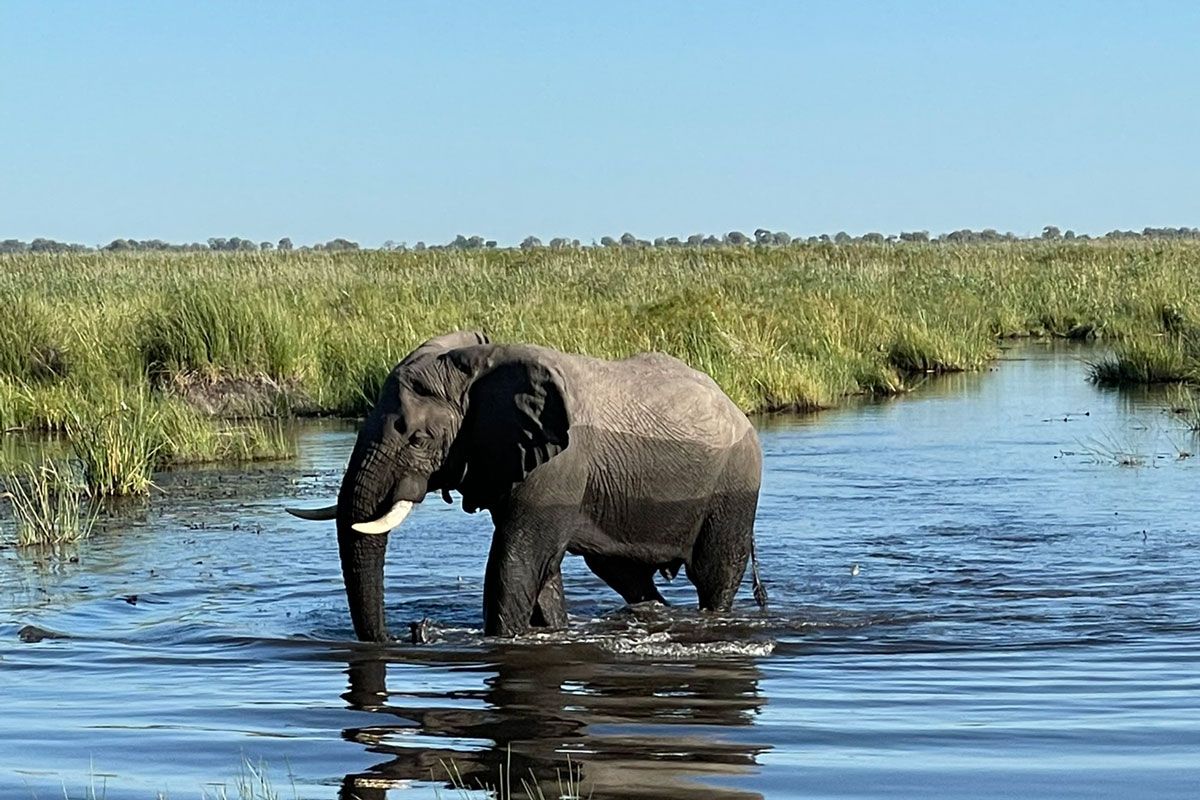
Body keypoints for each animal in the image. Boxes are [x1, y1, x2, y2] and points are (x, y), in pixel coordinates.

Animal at [287, 331, 766, 641]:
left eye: (418, 438)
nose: (405, 633)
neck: (477, 364)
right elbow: (542, 572)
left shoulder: (558, 466)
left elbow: (514, 563)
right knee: (623, 573)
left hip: (736, 482)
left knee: (715, 574)